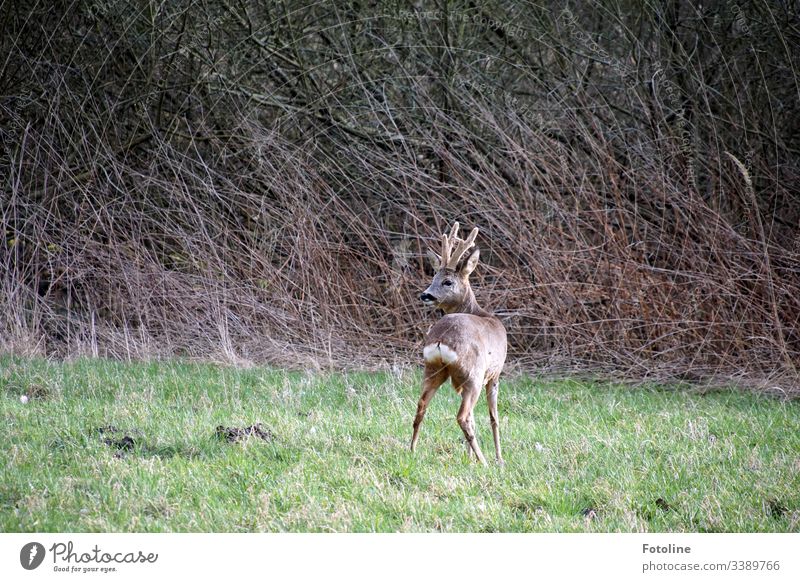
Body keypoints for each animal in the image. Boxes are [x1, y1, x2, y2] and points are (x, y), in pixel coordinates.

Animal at [412, 221, 506, 468]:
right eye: (433, 277)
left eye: (447, 281)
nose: (425, 295)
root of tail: (441, 340)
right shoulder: (494, 373)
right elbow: (493, 417)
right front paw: (499, 458)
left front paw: (468, 456)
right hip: (473, 374)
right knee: (462, 416)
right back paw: (484, 462)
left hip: (432, 369)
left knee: (421, 406)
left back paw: (412, 450)